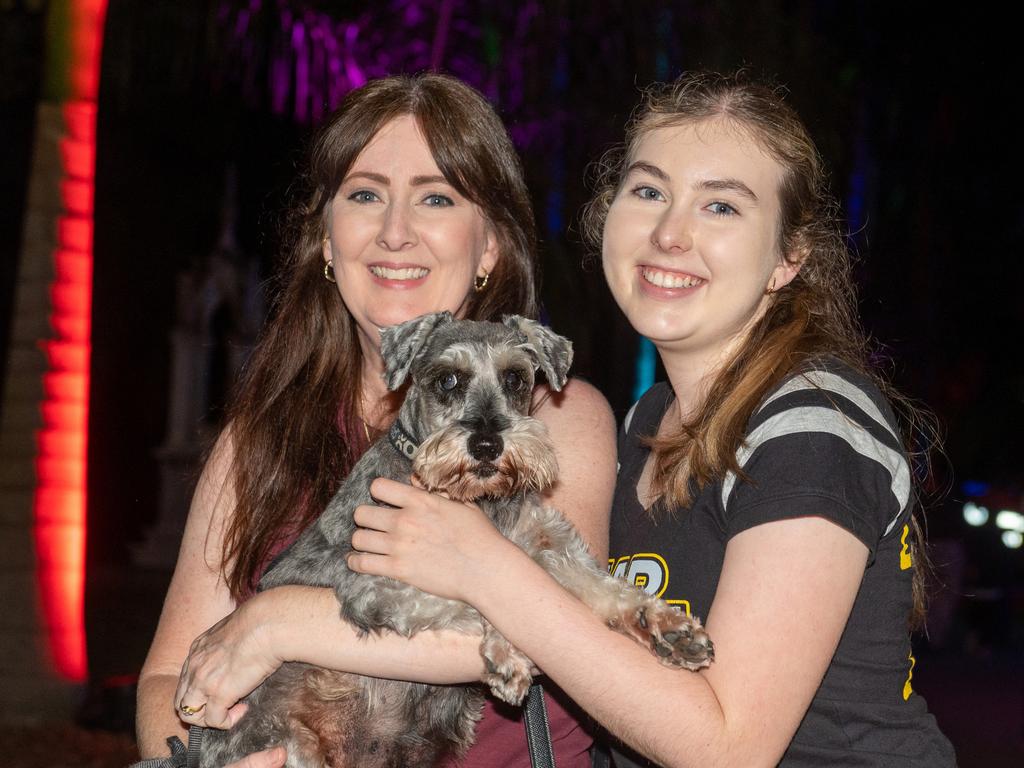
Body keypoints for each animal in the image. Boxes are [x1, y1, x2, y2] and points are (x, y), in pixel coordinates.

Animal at [197, 313, 712, 768]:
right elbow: (474, 599)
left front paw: (669, 626)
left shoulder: (548, 548)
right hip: (286, 744)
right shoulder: (375, 587)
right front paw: (507, 655)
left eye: (515, 378)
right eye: (448, 380)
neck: (480, 503)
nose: (487, 445)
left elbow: (600, 589)